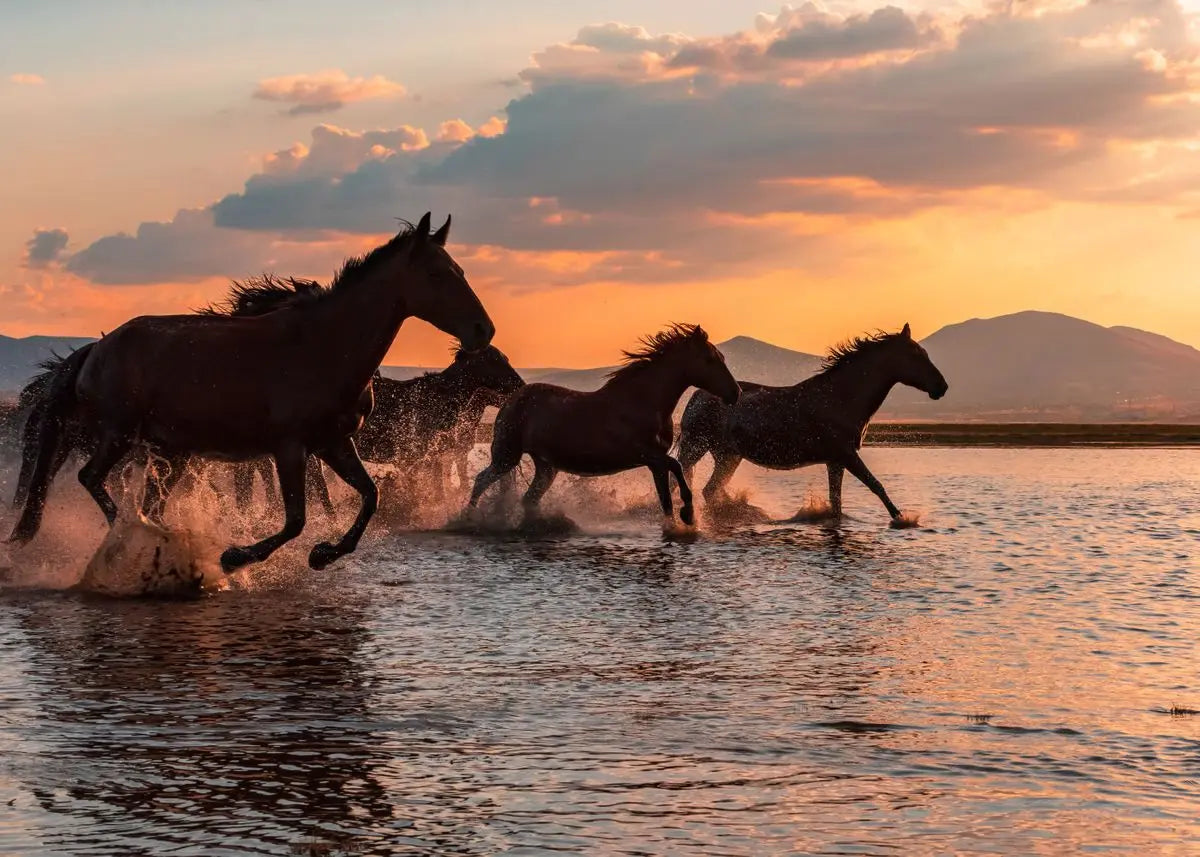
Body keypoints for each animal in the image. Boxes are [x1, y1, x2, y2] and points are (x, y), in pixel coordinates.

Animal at [9, 212, 494, 572]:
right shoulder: (290, 447)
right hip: (119, 434)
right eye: (436, 274)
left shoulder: (335, 443)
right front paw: (236, 556)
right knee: (91, 479)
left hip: (170, 451)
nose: (483, 330)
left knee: (147, 500)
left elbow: (369, 496)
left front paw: (324, 554)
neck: (324, 346)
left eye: (461, 270)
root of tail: (95, 348)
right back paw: (136, 538)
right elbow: (296, 519)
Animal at [467, 324, 739, 530]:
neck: (643, 400)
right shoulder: (646, 455)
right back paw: (467, 519)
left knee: (528, 499)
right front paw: (689, 515)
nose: (735, 393)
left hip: (546, 467)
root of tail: (510, 400)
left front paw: (677, 524)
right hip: (506, 456)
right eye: (710, 359)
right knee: (481, 480)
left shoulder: (655, 463)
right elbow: (678, 466)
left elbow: (665, 500)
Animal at [676, 324, 948, 523]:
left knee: (710, 489)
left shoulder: (835, 461)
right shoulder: (847, 455)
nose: (942, 387)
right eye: (916, 356)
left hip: (728, 456)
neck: (842, 397)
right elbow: (876, 486)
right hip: (699, 448)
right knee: (698, 486)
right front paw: (902, 519)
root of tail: (698, 395)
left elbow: (836, 502)